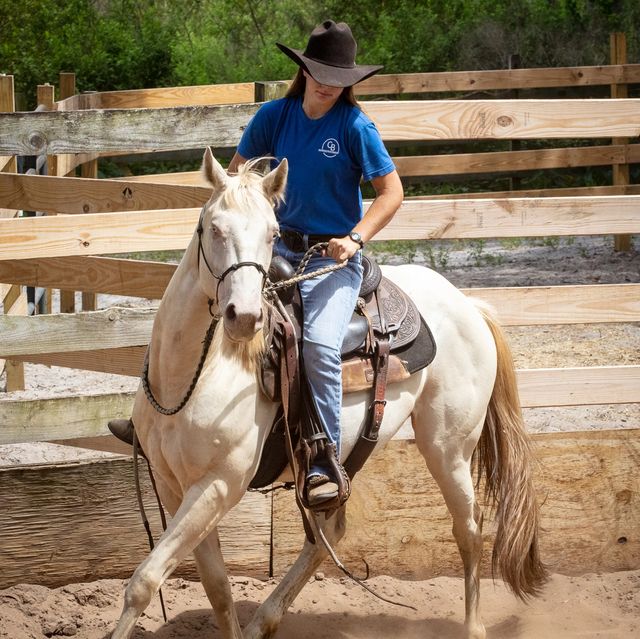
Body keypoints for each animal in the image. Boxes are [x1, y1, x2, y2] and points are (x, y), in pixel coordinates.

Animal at [110, 148, 547, 639]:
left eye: (272, 233)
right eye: (214, 227)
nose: (245, 317)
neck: (192, 375)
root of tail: (468, 304)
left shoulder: (219, 485)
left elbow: (145, 580)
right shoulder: (173, 485)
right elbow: (217, 588)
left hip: (448, 448)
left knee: (468, 530)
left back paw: (473, 627)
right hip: (347, 459)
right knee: (327, 536)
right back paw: (264, 620)